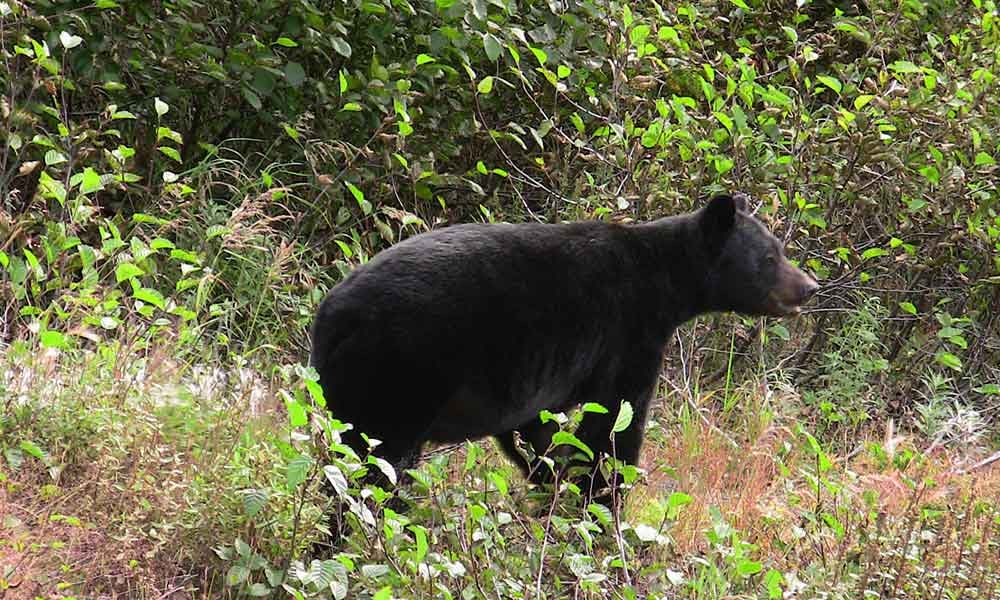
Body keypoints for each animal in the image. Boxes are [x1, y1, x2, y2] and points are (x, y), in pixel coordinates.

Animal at [308, 192, 816, 496]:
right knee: (379, 462)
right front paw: (603, 502)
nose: (809, 287)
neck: (665, 282)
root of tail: (332, 315)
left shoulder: (531, 383)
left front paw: (554, 487)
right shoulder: (626, 335)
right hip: (402, 373)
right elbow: (615, 423)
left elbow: (541, 433)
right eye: (771, 256)